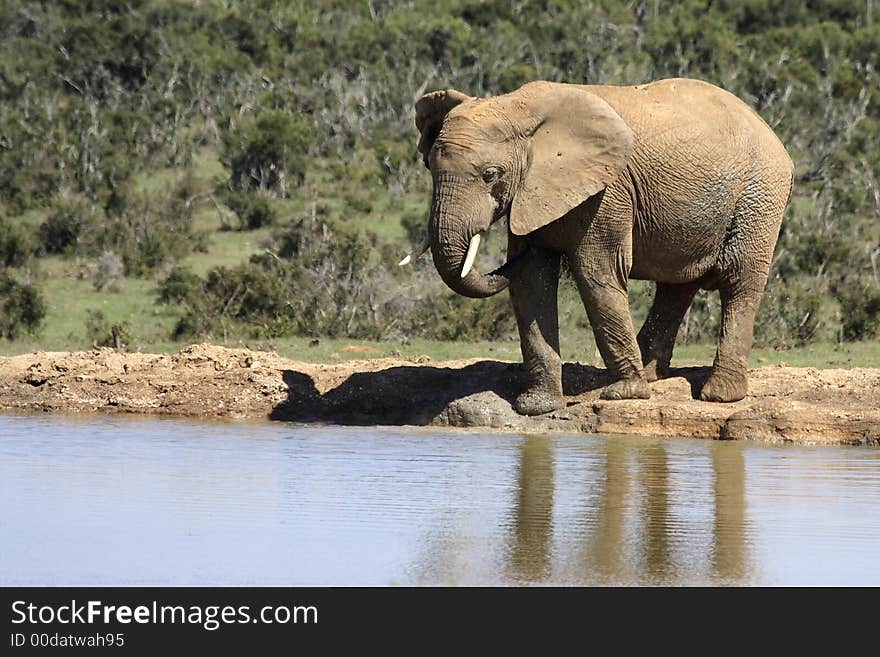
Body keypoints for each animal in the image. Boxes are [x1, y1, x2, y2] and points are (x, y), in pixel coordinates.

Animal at [402, 78, 796, 416]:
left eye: (490, 175)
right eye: (428, 167)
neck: (519, 108)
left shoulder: (607, 190)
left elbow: (596, 273)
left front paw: (625, 394)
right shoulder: (534, 191)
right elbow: (531, 281)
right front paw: (536, 407)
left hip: (760, 193)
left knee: (740, 284)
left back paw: (719, 395)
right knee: (676, 286)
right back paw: (651, 372)